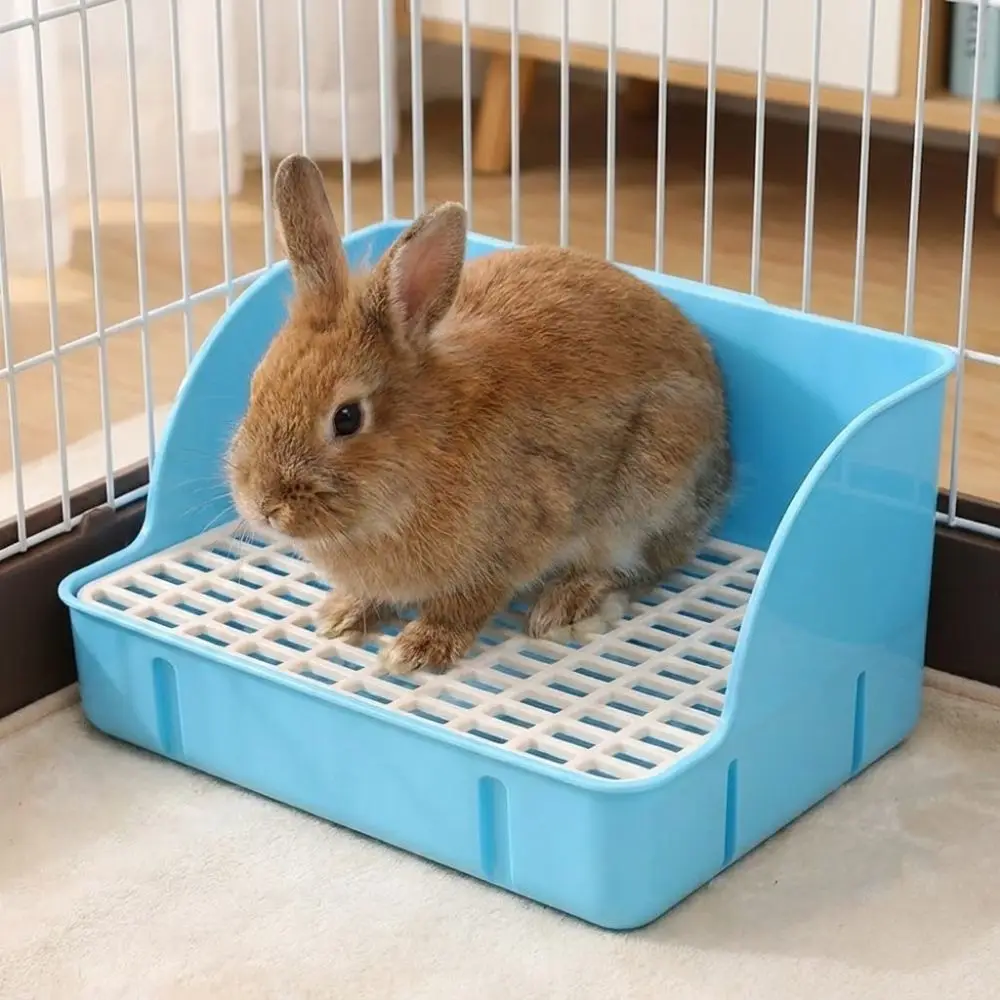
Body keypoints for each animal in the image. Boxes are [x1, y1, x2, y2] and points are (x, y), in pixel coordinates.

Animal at [226, 153, 733, 676]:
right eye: (256, 388)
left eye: (346, 418)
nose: (263, 506)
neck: (430, 443)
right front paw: (343, 615)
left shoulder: (511, 547)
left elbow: (465, 605)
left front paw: (419, 649)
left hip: (649, 489)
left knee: (642, 565)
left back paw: (564, 604)